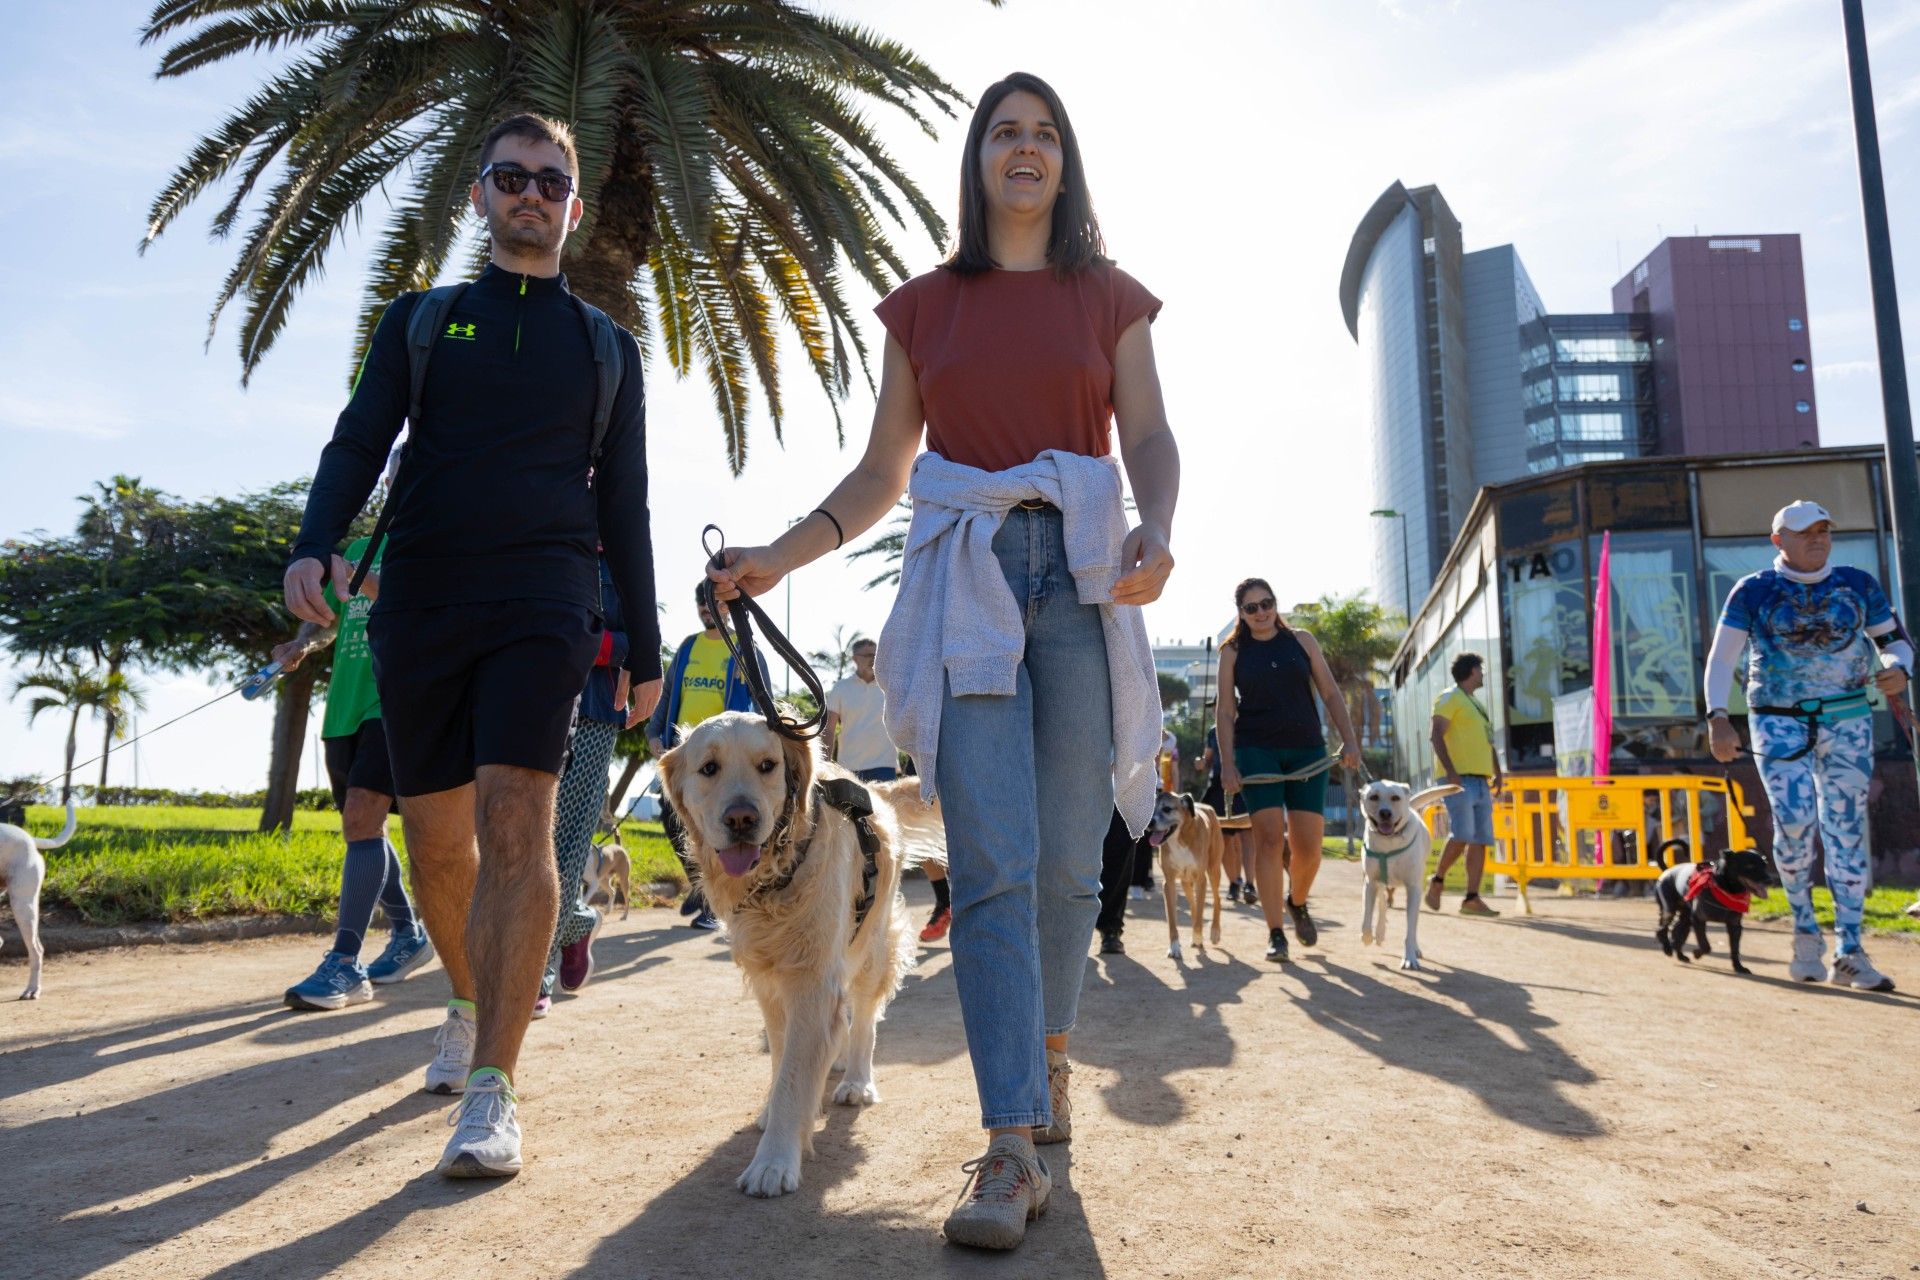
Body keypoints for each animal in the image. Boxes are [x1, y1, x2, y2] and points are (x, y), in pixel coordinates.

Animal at [660, 710, 921, 1205]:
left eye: (767, 765)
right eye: (709, 768)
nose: (741, 818)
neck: (775, 878)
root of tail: (878, 792)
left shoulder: (813, 976)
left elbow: (795, 1075)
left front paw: (774, 1162)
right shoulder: (769, 978)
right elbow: (784, 1058)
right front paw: (778, 1113)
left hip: (872, 946)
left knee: (864, 1018)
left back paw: (856, 1080)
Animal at [1144, 790, 1221, 959]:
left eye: (1167, 809)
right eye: (1151, 807)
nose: (1150, 823)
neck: (1180, 839)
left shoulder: (1201, 880)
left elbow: (1200, 913)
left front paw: (1198, 936)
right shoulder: (1169, 883)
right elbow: (1172, 919)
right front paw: (1174, 947)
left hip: (1214, 870)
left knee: (1217, 900)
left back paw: (1214, 932)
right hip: (1185, 882)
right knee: (1193, 905)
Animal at [1359, 782, 1459, 971]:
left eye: (1395, 798)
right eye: (1373, 797)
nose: (1385, 813)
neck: (1389, 842)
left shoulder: (1413, 888)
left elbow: (1410, 929)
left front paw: (1410, 957)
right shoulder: (1371, 882)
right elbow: (1367, 916)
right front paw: (1367, 937)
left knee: (1413, 923)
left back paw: (1414, 948)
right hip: (1381, 883)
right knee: (1382, 905)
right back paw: (1379, 933)